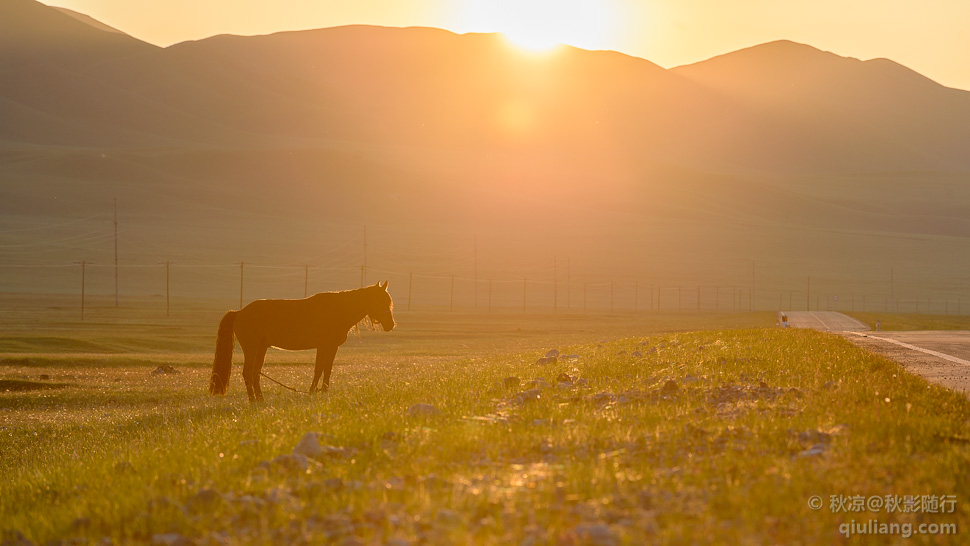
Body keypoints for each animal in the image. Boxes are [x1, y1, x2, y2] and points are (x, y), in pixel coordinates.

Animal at [208, 280, 394, 400]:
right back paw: (253, 400)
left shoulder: (331, 347)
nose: (390, 324)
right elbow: (319, 369)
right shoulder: (324, 346)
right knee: (247, 373)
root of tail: (239, 312)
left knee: (255, 372)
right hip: (252, 348)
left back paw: (260, 399)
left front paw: (323, 391)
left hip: (261, 348)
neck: (337, 310)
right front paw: (313, 391)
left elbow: (327, 369)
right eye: (380, 300)